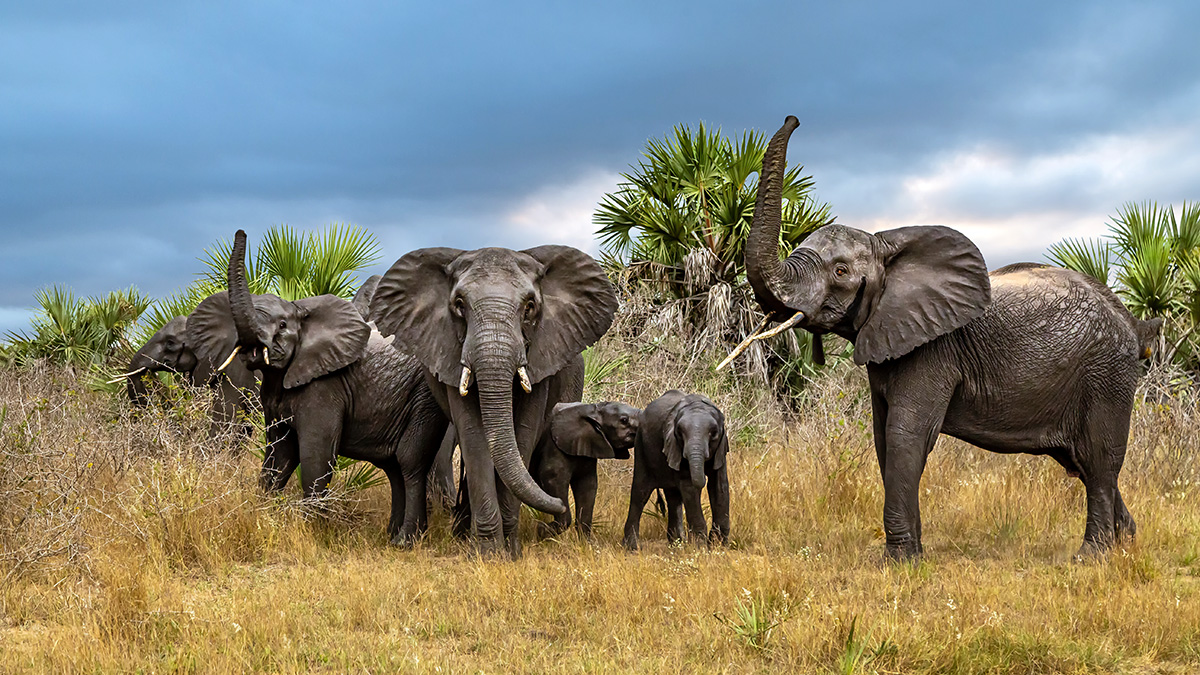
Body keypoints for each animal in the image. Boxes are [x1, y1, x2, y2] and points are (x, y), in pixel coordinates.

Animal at [192, 229, 451, 540]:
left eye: (282, 325)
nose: (240, 232)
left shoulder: (325, 387)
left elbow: (315, 458)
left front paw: (312, 531)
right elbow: (277, 457)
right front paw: (263, 515)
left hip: (424, 397)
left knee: (409, 462)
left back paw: (405, 541)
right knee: (393, 467)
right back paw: (391, 537)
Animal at [372, 243, 619, 554]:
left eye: (530, 306)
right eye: (460, 304)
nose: (559, 507)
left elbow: (523, 433)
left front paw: (509, 552)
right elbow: (474, 437)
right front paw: (488, 553)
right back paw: (463, 533)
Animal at [532, 401, 643, 538]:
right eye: (624, 420)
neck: (591, 409)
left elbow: (588, 485)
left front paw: (585, 541)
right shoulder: (554, 445)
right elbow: (553, 478)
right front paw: (540, 530)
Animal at [619, 391, 729, 550]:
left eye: (713, 433)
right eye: (680, 432)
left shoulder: (720, 449)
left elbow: (719, 486)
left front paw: (719, 546)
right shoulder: (674, 445)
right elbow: (689, 487)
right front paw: (701, 549)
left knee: (673, 497)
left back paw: (677, 544)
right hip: (641, 446)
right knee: (640, 494)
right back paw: (631, 548)